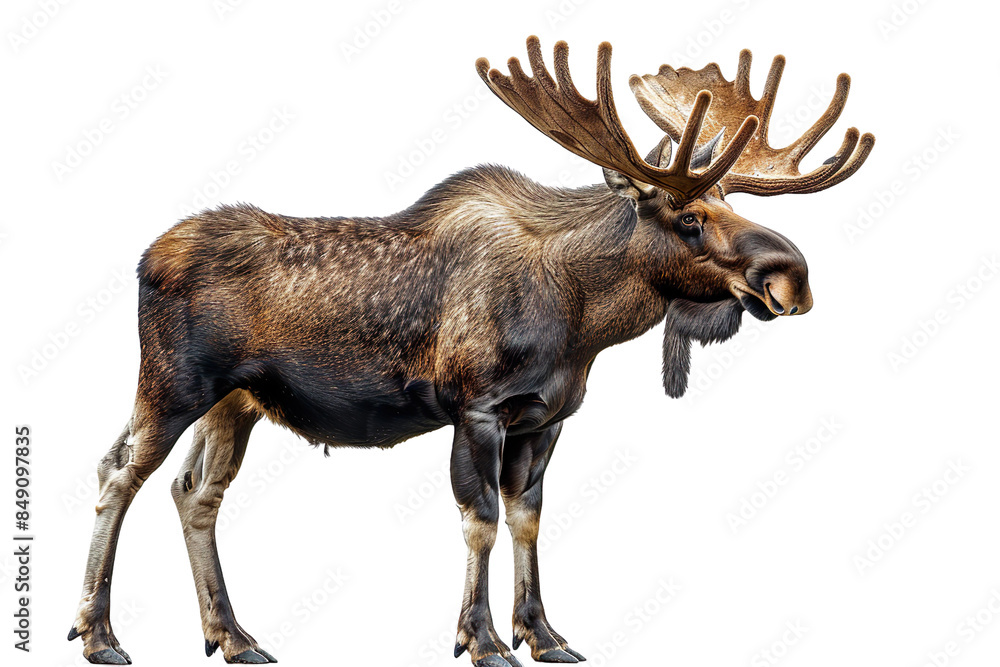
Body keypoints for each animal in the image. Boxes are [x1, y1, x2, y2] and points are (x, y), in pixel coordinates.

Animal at [69, 36, 874, 666]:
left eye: (733, 205)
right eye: (688, 218)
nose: (791, 277)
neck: (583, 320)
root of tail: (145, 257)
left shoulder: (545, 417)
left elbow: (528, 516)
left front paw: (544, 633)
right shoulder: (477, 407)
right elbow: (480, 517)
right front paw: (481, 639)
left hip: (236, 402)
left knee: (194, 491)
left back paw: (233, 635)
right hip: (172, 383)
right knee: (118, 474)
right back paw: (98, 633)